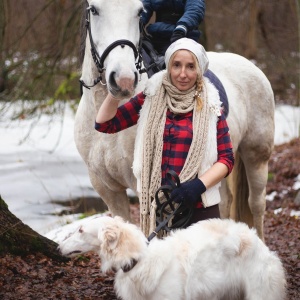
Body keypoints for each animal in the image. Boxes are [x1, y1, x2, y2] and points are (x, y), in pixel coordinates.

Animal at [75, 0, 274, 239]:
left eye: (138, 12)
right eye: (94, 10)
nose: (123, 80)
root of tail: (251, 66)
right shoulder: (108, 190)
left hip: (256, 155)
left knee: (256, 204)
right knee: (224, 202)